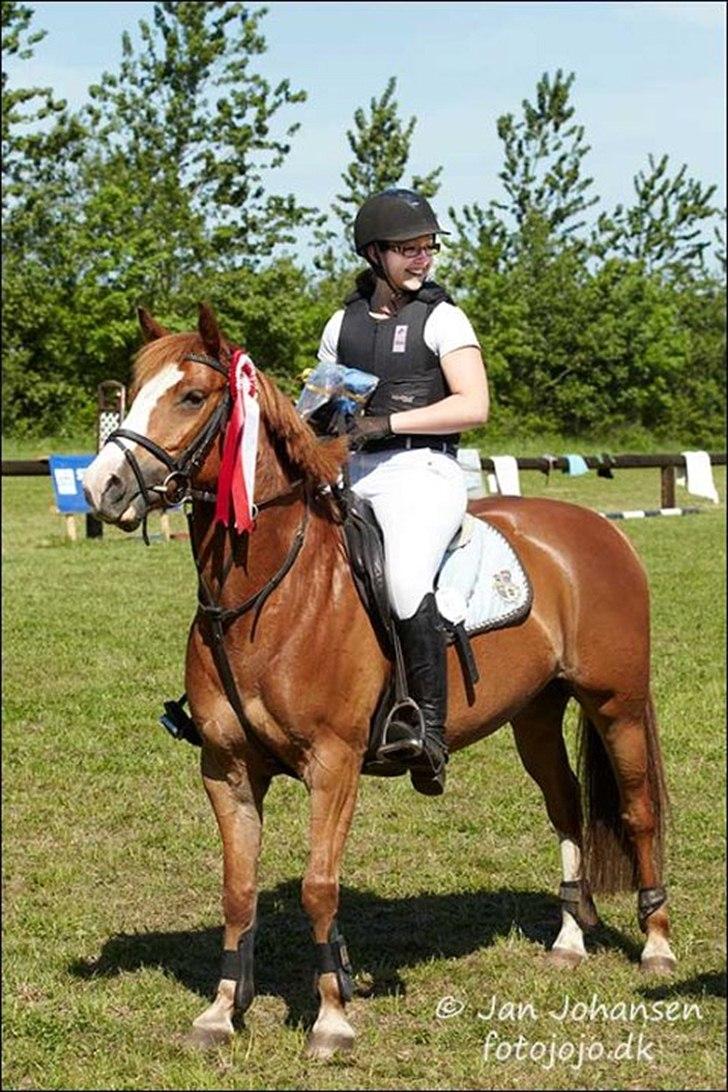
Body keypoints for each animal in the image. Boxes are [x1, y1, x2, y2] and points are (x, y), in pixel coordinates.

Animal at [83, 303, 675, 1058]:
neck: (269, 592)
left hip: (615, 703)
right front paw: (220, 1013)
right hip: (536, 715)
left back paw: (657, 946)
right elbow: (238, 891)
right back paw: (569, 939)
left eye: (191, 396)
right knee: (566, 806)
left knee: (637, 810)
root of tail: (598, 529)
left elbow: (319, 886)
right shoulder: (227, 769)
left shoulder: (333, 765)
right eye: (131, 391)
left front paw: (332, 1017)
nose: (101, 488)